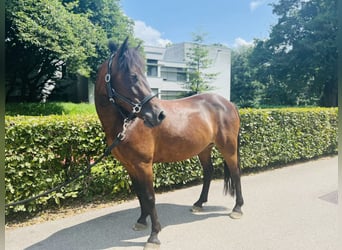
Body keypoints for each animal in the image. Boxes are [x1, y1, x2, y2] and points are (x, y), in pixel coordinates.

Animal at [94, 38, 243, 249]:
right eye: (133, 76)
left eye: (144, 74)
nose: (158, 115)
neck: (127, 124)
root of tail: (228, 103)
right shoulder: (130, 166)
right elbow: (140, 194)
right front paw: (142, 221)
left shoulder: (144, 165)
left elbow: (149, 196)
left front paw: (154, 235)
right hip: (204, 149)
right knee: (208, 172)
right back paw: (199, 204)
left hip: (228, 148)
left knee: (236, 172)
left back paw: (237, 208)